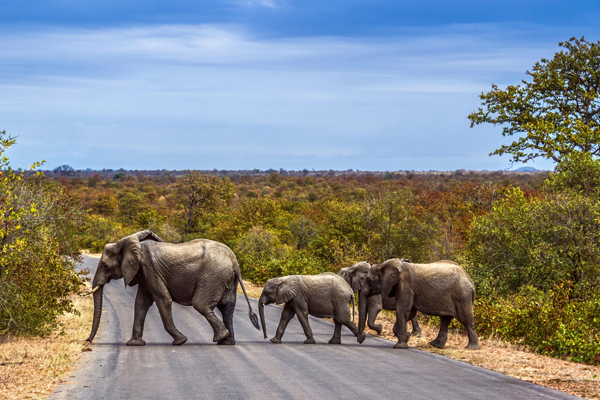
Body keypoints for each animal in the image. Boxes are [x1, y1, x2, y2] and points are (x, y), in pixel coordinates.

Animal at [85, 231, 258, 346]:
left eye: (105, 266)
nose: (88, 341)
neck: (128, 243)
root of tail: (234, 261)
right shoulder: (144, 274)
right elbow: (141, 303)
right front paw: (134, 344)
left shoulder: (149, 269)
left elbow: (163, 300)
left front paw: (180, 341)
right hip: (226, 279)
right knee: (227, 307)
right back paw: (227, 342)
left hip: (213, 276)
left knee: (201, 304)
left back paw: (220, 337)